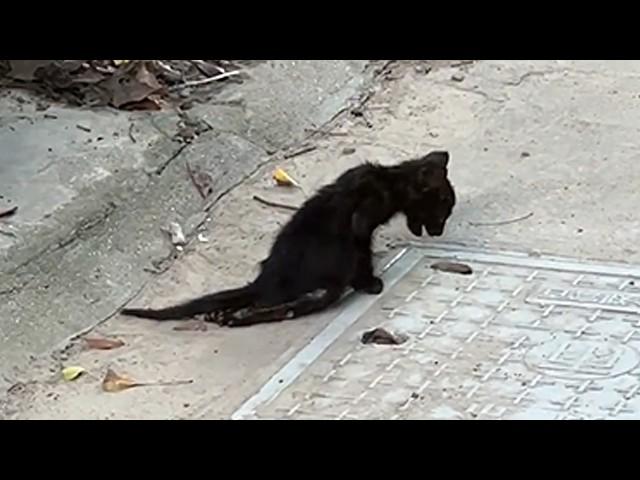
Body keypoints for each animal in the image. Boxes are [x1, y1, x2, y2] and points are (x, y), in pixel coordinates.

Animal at [121, 152, 456, 328]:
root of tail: (264, 280)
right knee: (277, 307)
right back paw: (234, 316)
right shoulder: (361, 224)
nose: (440, 232)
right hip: (320, 291)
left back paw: (220, 314)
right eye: (443, 211)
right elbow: (361, 254)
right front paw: (369, 282)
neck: (389, 182)